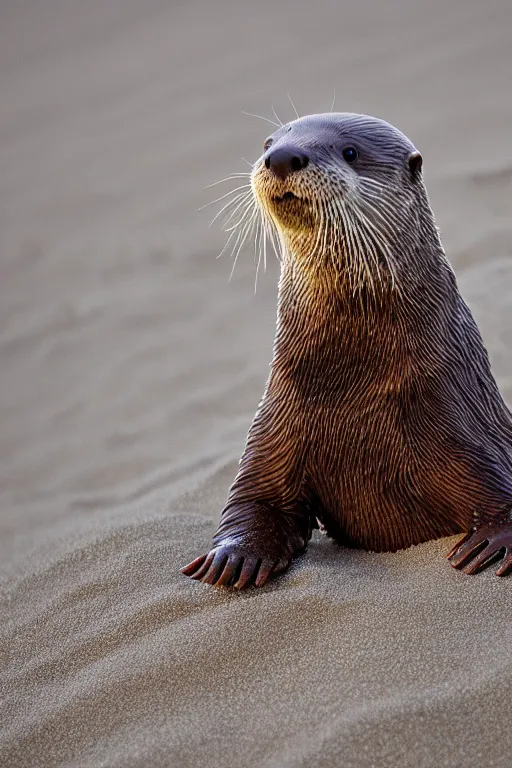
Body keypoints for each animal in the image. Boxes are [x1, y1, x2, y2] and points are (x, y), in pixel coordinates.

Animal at [181, 112, 512, 588]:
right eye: (268, 143)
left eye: (350, 151)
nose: (282, 157)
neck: (353, 383)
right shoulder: (278, 421)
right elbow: (255, 499)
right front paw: (233, 556)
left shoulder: (463, 419)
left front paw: (495, 540)